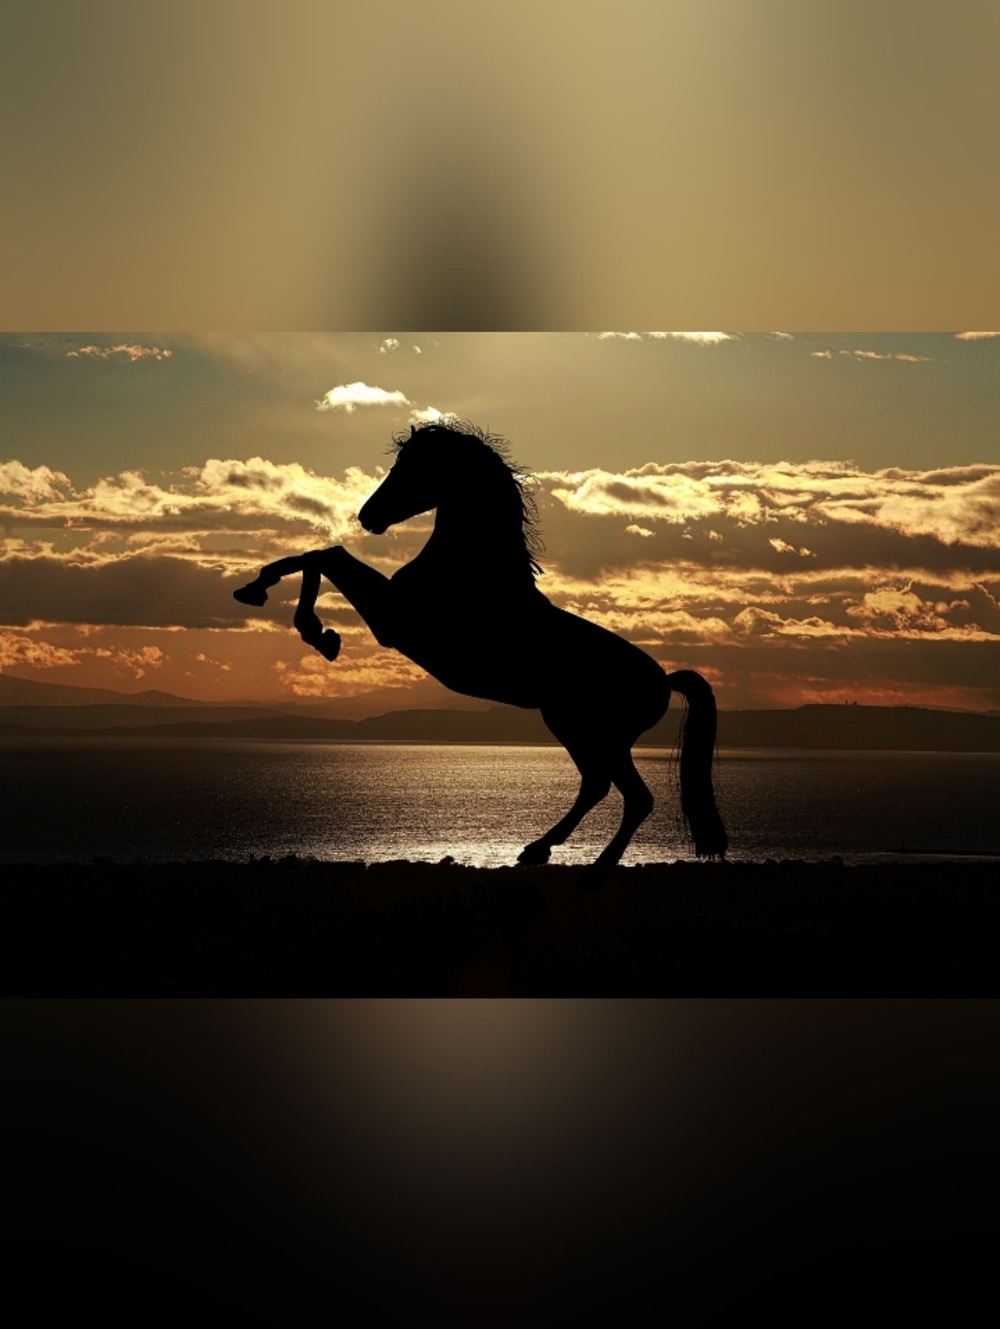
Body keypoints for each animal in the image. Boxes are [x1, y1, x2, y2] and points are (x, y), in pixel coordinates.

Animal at [234, 421, 728, 879]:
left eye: (413, 466)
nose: (367, 516)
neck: (471, 570)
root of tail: (662, 681)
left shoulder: (393, 620)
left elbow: (326, 555)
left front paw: (315, 630)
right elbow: (317, 555)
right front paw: (261, 593)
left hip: (594, 732)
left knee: (633, 797)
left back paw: (595, 868)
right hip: (575, 728)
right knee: (597, 786)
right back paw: (537, 850)